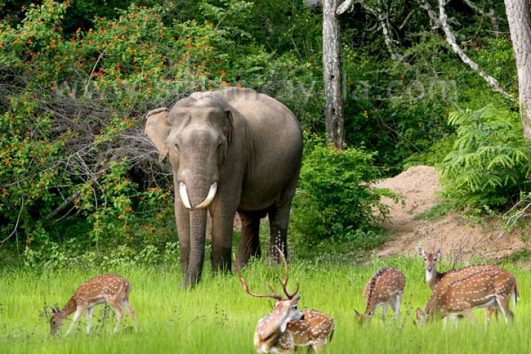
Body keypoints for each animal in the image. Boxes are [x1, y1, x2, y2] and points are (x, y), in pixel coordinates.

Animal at [145, 86, 304, 288]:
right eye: (176, 145)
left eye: (219, 145)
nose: (186, 286)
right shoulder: (176, 166)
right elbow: (180, 208)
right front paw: (186, 278)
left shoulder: (236, 152)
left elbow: (223, 206)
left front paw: (220, 279)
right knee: (249, 217)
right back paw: (245, 269)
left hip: (294, 164)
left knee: (281, 209)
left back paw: (273, 269)